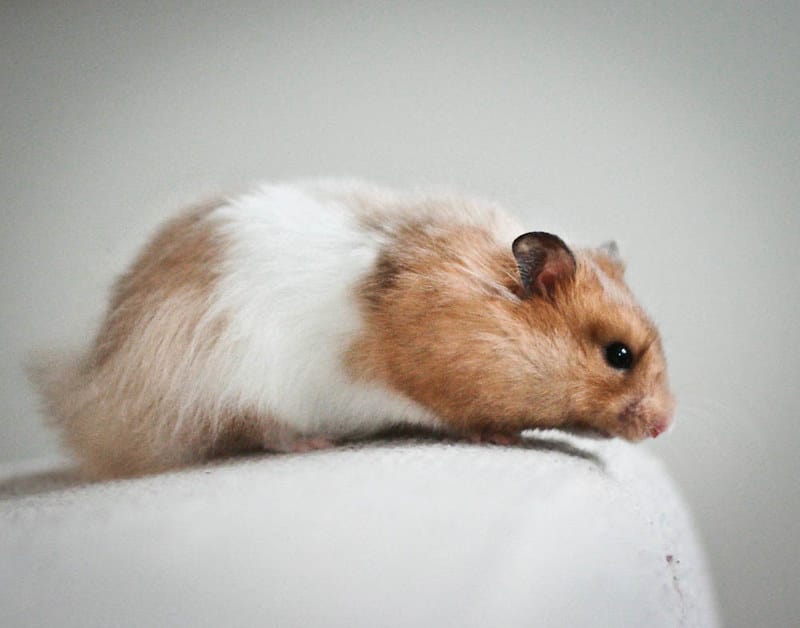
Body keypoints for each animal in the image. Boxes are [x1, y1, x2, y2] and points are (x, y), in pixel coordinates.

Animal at [32, 180, 674, 478]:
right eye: (619, 355)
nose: (665, 426)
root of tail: (105, 364)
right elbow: (469, 420)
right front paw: (504, 439)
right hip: (232, 381)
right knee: (258, 427)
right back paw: (314, 443)